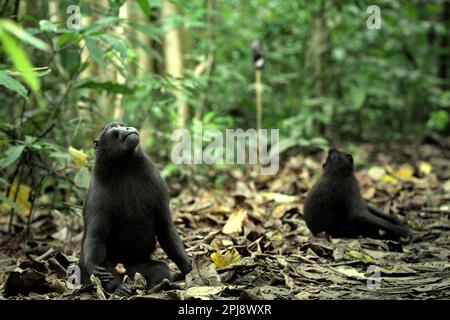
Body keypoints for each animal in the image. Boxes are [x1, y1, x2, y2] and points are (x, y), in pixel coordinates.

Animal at [79, 122, 192, 296]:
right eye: (113, 129)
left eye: (122, 125)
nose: (127, 129)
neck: (125, 167)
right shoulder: (97, 193)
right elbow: (95, 235)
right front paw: (93, 266)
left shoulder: (155, 180)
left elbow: (165, 225)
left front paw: (187, 268)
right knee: (106, 270)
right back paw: (119, 288)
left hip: (136, 267)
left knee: (159, 268)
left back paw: (157, 286)